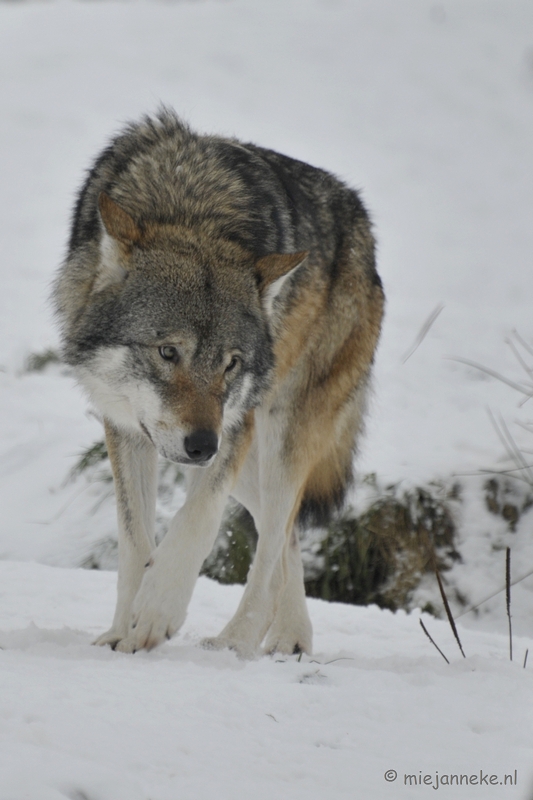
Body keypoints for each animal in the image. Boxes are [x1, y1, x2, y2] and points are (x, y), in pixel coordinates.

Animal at [54, 108, 382, 656]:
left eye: (231, 363)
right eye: (168, 352)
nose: (202, 446)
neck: (191, 206)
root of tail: (364, 227)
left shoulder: (235, 423)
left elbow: (196, 519)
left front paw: (157, 610)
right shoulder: (124, 427)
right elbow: (134, 540)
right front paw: (125, 631)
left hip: (282, 432)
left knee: (272, 547)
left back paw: (237, 642)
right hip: (251, 465)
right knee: (285, 534)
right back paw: (291, 639)